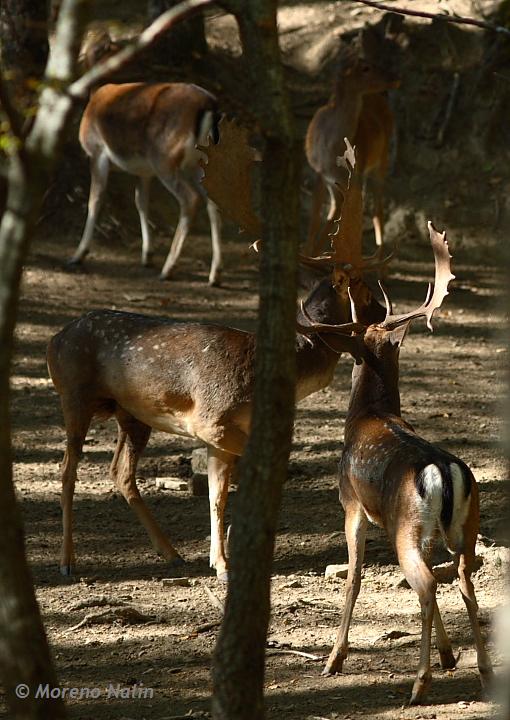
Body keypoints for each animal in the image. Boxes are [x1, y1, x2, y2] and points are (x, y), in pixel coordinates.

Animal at [69, 81, 223, 286]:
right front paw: (147, 255)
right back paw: (215, 275)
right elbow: (141, 202)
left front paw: (78, 254)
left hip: (164, 158)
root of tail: (210, 106)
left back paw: (168, 269)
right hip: (198, 164)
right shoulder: (144, 172)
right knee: (213, 202)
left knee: (191, 198)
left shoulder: (97, 152)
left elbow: (95, 200)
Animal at [304, 23, 400, 258]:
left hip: (379, 162)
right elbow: (315, 221)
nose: (395, 77)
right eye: (365, 68)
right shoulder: (319, 173)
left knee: (377, 210)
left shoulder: (350, 174)